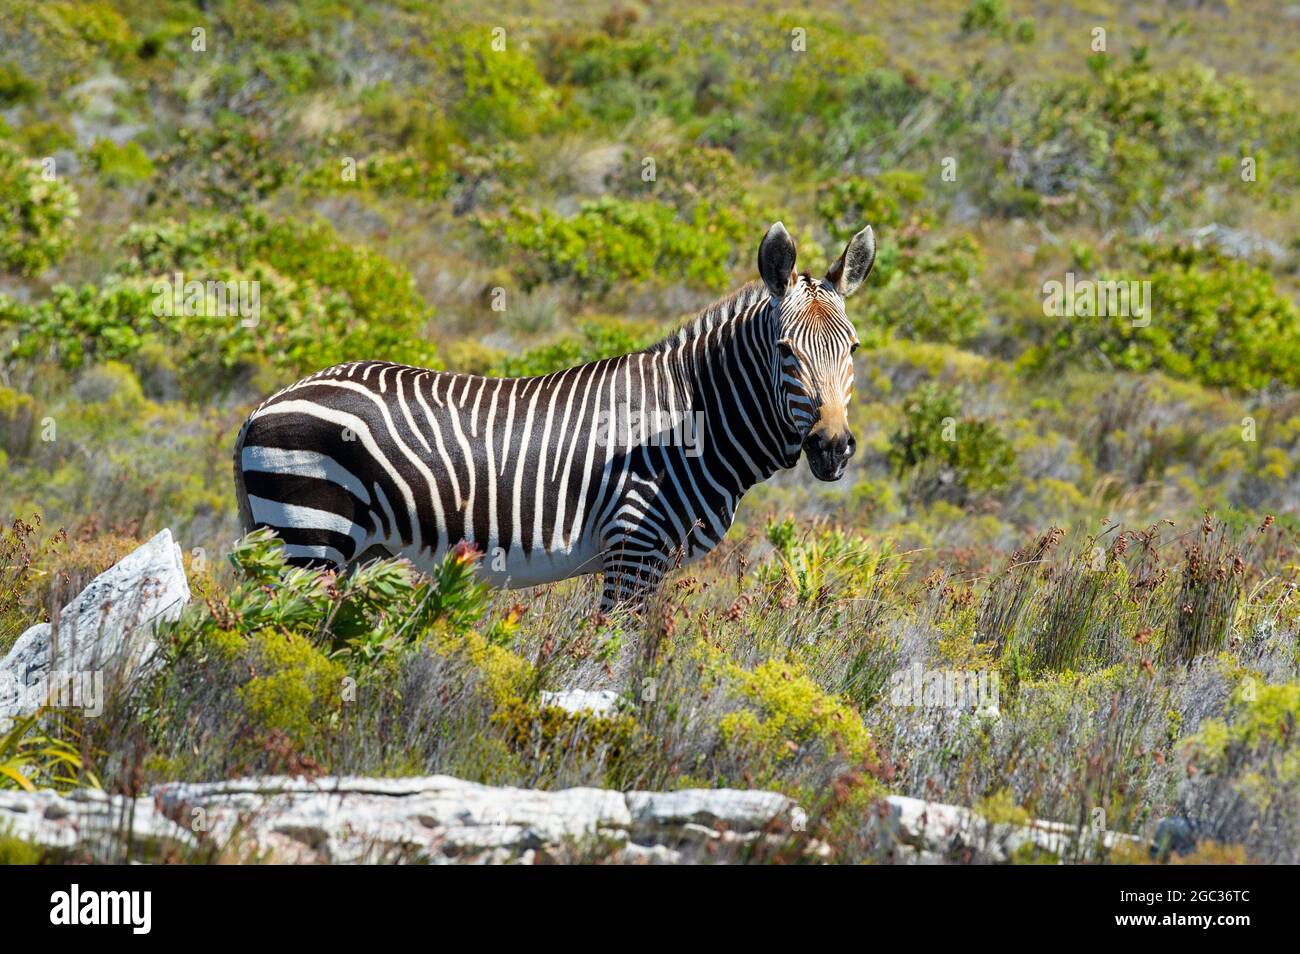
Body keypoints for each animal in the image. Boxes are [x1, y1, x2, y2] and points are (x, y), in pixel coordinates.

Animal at [236, 222, 873, 613]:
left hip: (341, 549)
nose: (832, 448)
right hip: (310, 535)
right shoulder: (633, 549)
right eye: (786, 351)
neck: (694, 417)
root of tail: (262, 406)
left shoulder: (651, 561)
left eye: (855, 348)